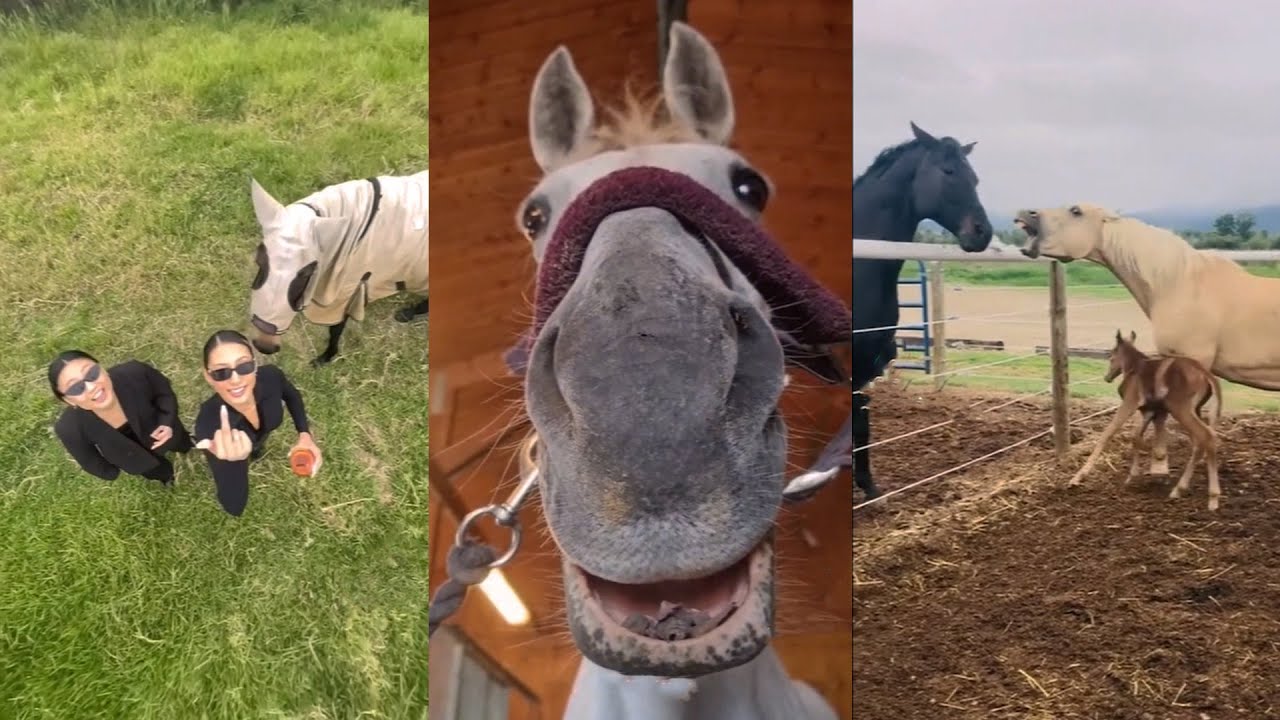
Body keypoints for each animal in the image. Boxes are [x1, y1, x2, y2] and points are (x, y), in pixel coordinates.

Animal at [246, 171, 429, 366]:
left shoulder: (345, 293)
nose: (264, 345)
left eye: (307, 273)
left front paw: (325, 358)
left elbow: (335, 330)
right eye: (259, 261)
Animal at [1070, 329, 1223, 509]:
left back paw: (1212, 497)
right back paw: (1179, 489)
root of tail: (1205, 374)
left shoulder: (1129, 403)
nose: (1107, 377)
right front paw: (1136, 475)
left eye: (1111, 357)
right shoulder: (1149, 410)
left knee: (1207, 436)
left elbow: (1108, 434)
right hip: (1195, 410)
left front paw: (1078, 477)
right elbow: (1136, 437)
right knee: (1200, 442)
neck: (1133, 368)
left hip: (1182, 409)